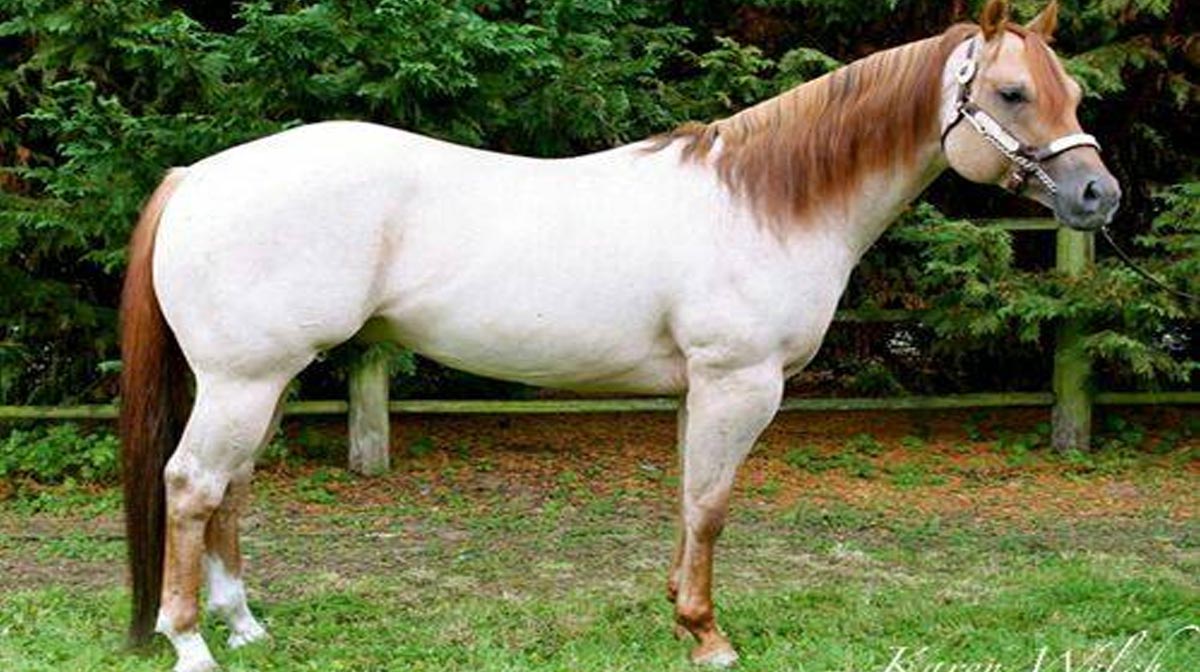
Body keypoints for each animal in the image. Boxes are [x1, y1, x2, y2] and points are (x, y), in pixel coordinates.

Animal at [119, 2, 1113, 667]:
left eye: (1072, 91)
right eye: (1012, 93)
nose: (1099, 195)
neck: (767, 203)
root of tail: (196, 177)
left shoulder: (697, 392)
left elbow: (688, 503)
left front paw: (679, 613)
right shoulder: (738, 385)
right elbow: (711, 507)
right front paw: (709, 637)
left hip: (266, 381)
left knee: (232, 489)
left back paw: (245, 625)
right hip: (244, 380)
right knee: (193, 485)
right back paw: (191, 642)